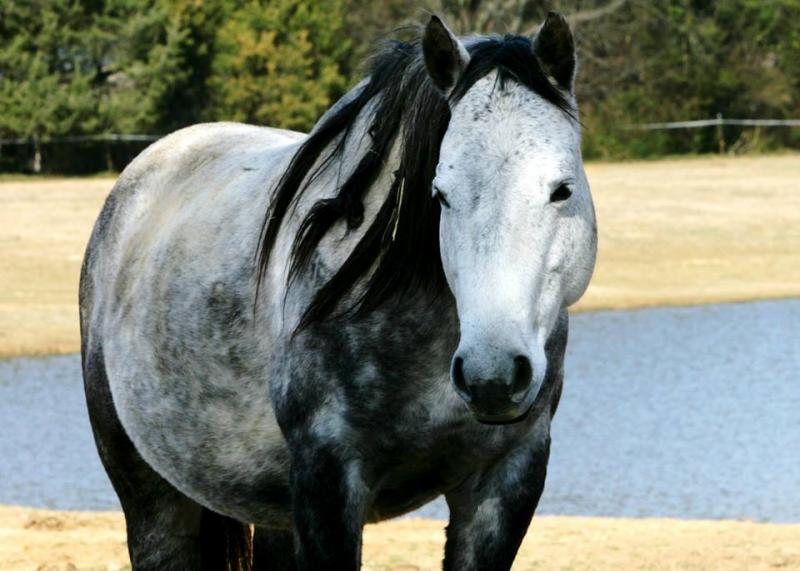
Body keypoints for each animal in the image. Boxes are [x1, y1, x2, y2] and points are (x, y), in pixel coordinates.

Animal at [80, 12, 596, 570]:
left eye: (562, 190)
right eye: (440, 194)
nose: (492, 376)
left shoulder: (508, 476)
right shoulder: (327, 480)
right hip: (152, 498)